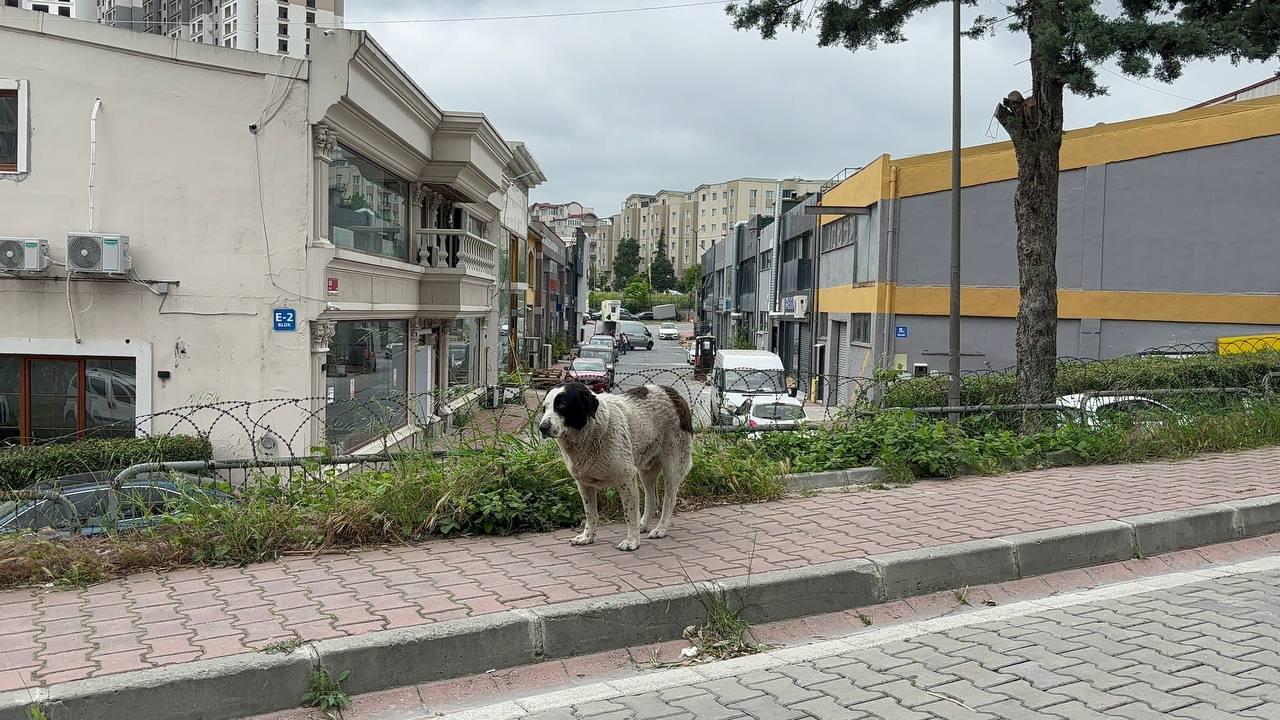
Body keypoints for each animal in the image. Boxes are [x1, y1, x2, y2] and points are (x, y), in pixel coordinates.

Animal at [542, 381, 696, 548]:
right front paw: (587, 537)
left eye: (561, 405)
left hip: (672, 467)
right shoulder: (583, 484)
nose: (542, 427)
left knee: (669, 500)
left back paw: (660, 529)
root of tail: (674, 393)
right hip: (646, 470)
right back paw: (643, 525)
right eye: (544, 408)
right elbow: (590, 514)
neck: (593, 429)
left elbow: (630, 513)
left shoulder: (626, 478)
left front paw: (632, 541)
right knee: (652, 498)